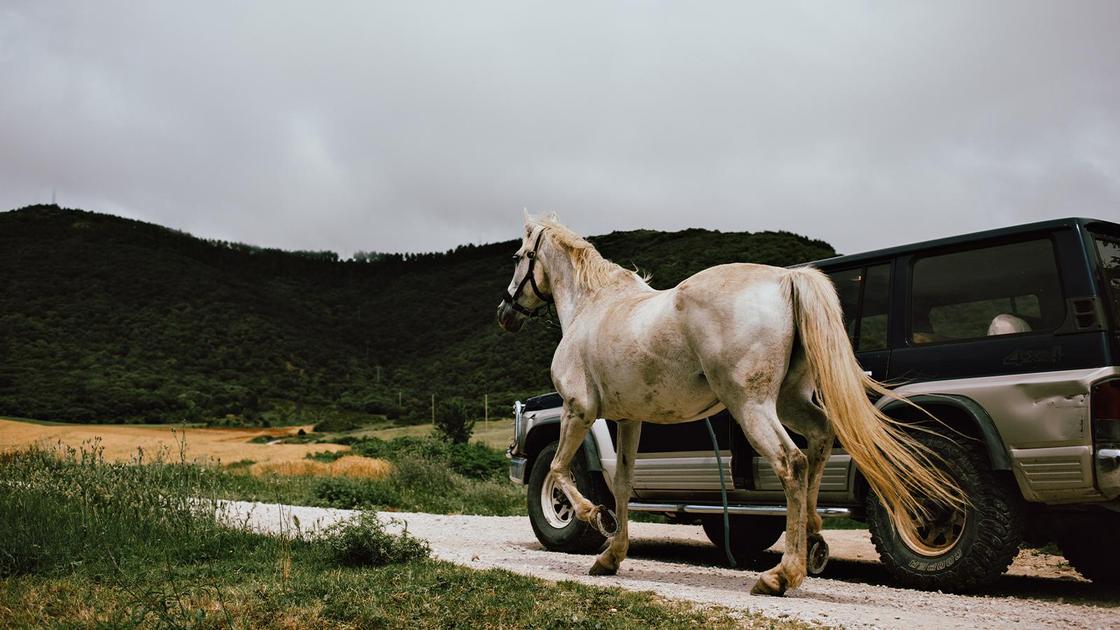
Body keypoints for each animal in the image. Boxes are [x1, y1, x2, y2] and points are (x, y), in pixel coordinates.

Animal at [499, 214, 963, 591]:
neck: (593, 308)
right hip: (789, 403)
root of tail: (785, 281)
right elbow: (624, 484)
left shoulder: (578, 410)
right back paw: (812, 540)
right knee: (818, 441)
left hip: (752, 406)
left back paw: (781, 575)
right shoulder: (630, 421)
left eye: (519, 256)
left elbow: (558, 470)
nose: (505, 313)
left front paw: (596, 517)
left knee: (792, 463)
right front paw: (611, 556)